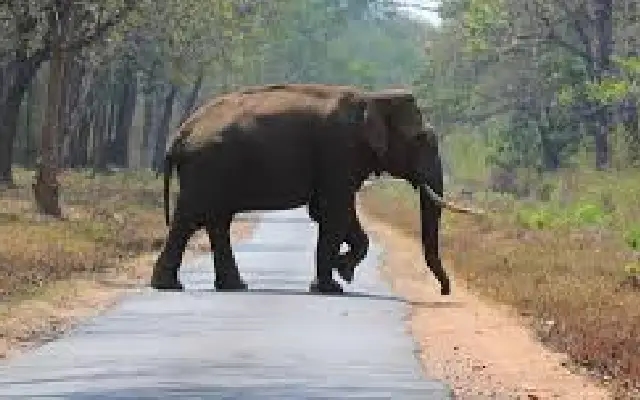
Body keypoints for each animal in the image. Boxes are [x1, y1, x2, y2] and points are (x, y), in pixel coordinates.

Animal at [150, 83, 481, 295]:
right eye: (420, 140)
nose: (444, 291)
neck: (371, 97)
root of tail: (180, 135)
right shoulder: (339, 149)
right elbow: (335, 210)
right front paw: (334, 283)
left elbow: (328, 211)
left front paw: (341, 270)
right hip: (207, 168)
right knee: (190, 218)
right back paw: (168, 286)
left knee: (218, 220)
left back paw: (232, 286)